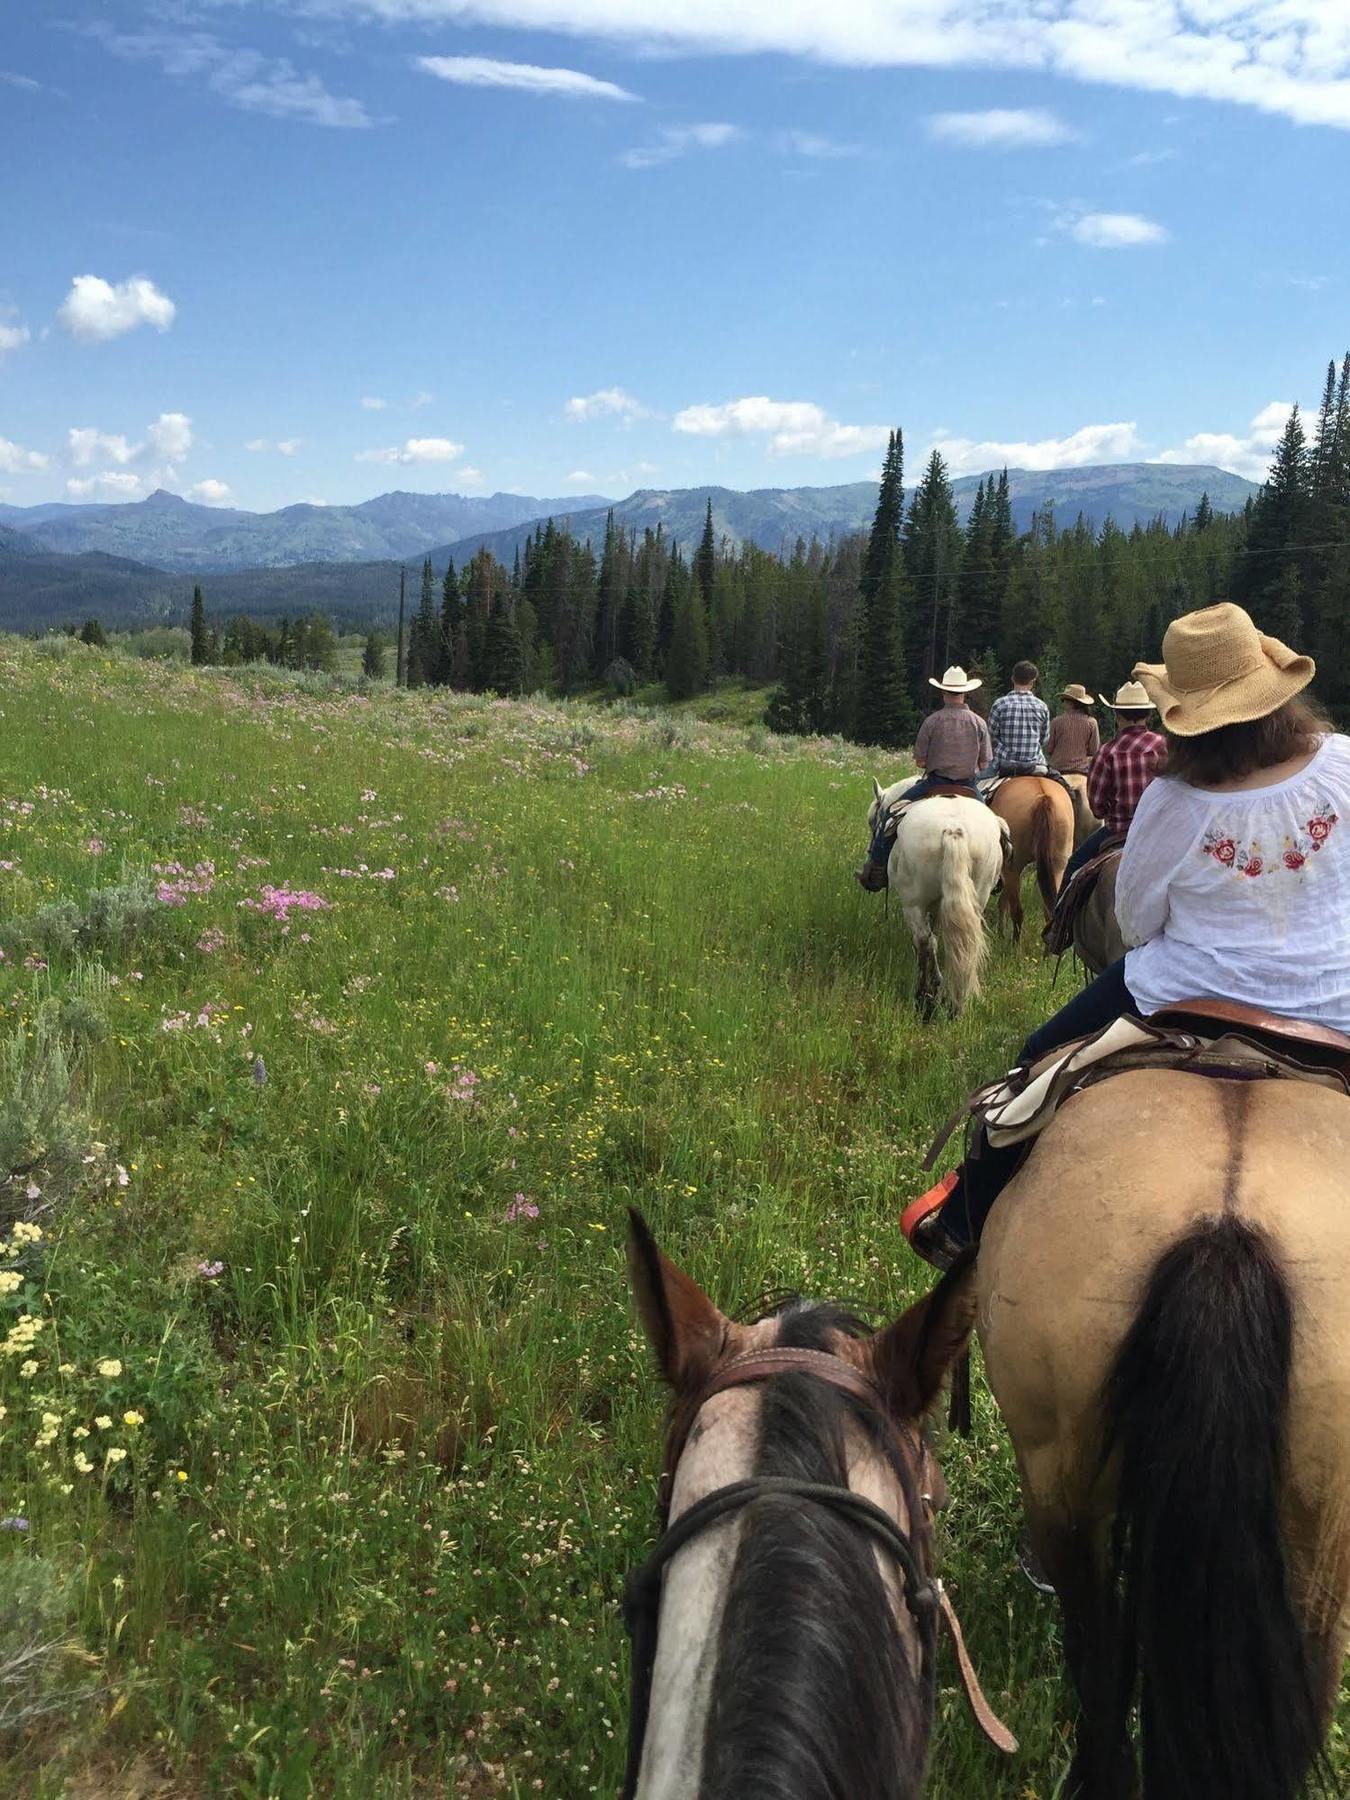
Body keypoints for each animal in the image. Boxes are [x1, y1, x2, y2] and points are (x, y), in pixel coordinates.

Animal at [986, 777, 1072, 943]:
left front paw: (1000, 934)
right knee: (1050, 913)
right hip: (1058, 866)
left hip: (1012, 868)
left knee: (1017, 912)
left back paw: (1014, 945)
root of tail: (1043, 797)